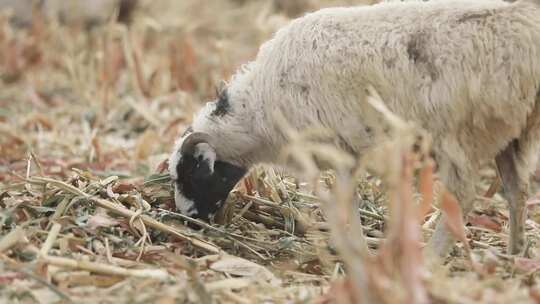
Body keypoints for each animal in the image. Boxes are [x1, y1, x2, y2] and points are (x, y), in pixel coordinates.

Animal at [169, 0, 540, 258]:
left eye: (189, 174)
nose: (189, 221)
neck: (258, 113)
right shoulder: (348, 152)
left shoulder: (336, 147)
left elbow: (345, 201)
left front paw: (354, 249)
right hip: (513, 130)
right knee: (516, 191)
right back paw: (514, 253)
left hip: (465, 132)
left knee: (461, 199)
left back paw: (430, 260)